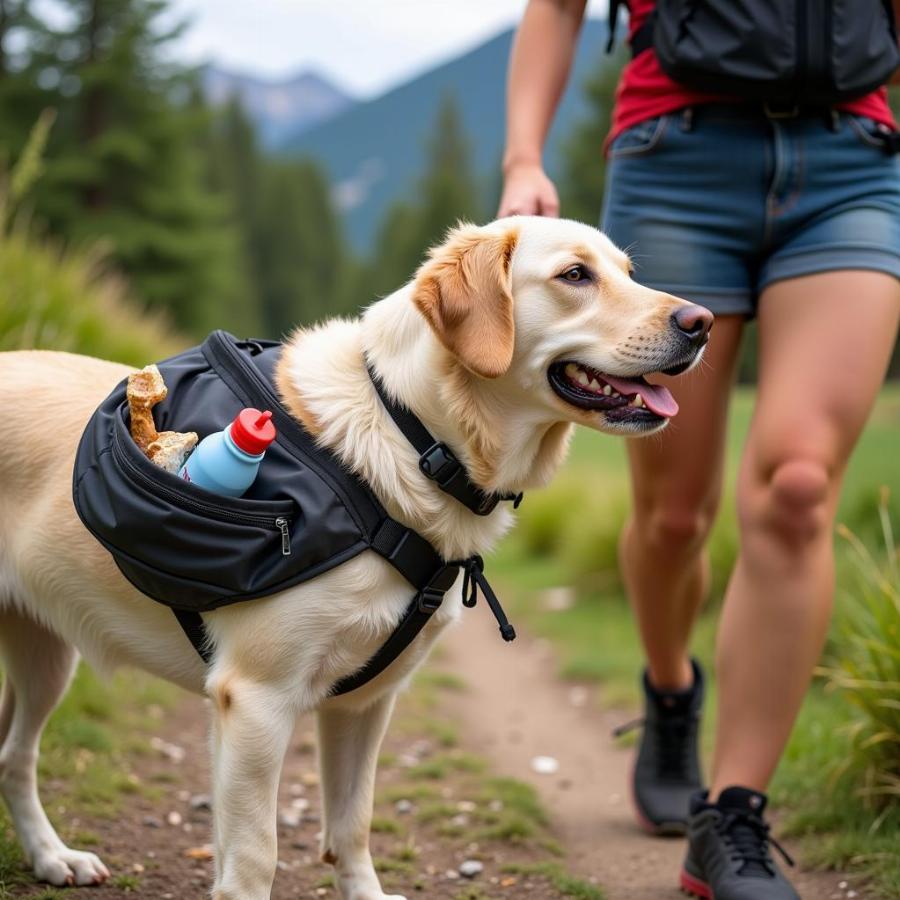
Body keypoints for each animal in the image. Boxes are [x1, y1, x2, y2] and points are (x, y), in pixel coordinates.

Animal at [0, 214, 712, 896]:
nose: (702, 322)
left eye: (628, 272)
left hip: (44, 658)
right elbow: (254, 859)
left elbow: (352, 824)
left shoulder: (363, 704)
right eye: (575, 275)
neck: (413, 438)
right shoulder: (256, 701)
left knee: (12, 757)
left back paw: (53, 858)